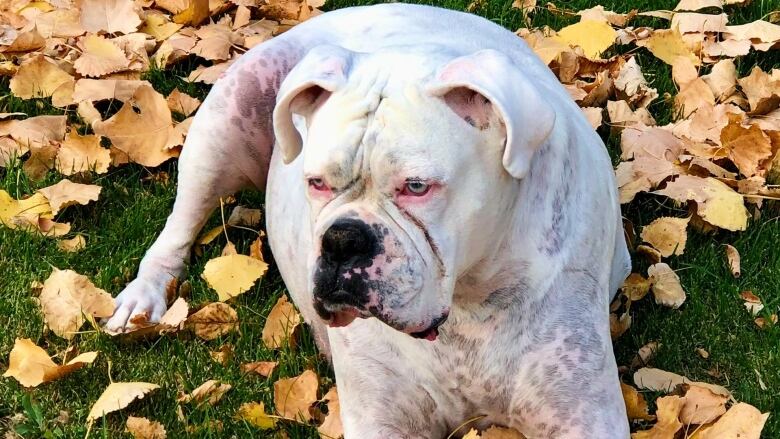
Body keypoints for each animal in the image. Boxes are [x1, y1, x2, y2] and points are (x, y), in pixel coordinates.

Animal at [103, 4, 632, 439]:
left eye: (417, 187)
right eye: (316, 182)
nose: (342, 239)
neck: (467, 303)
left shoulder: (583, 414)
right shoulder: (383, 416)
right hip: (226, 115)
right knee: (178, 226)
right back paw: (143, 298)